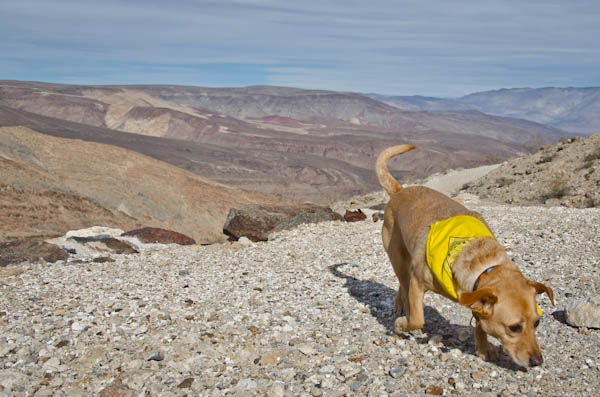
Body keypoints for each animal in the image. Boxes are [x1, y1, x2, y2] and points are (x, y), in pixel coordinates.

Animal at [378, 144, 556, 366]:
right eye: (514, 327)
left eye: (537, 323)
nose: (537, 361)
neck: (480, 258)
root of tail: (400, 190)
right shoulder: (418, 283)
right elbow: (418, 319)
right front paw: (402, 324)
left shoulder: (476, 293)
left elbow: (480, 323)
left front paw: (483, 348)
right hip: (398, 258)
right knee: (403, 285)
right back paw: (402, 308)